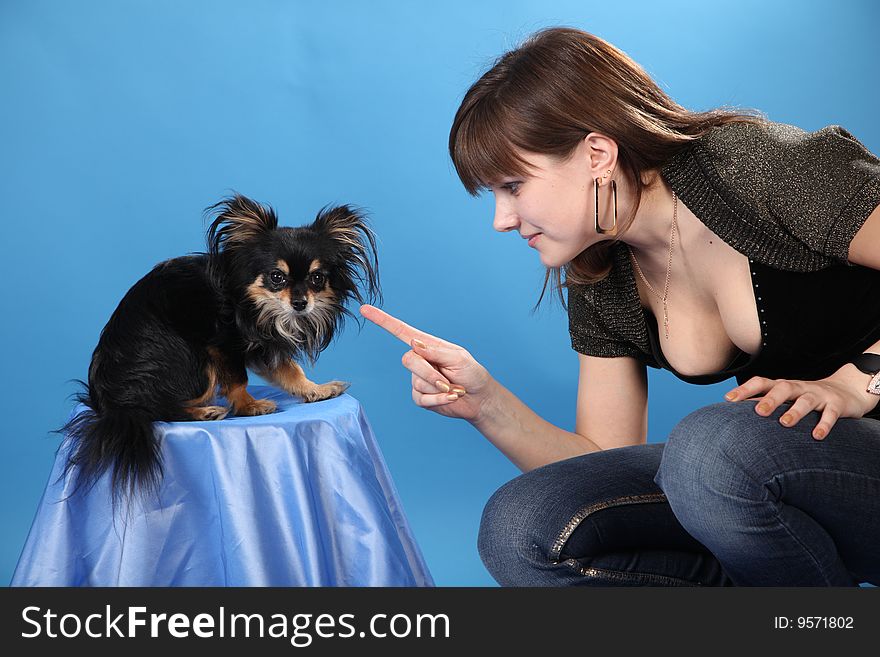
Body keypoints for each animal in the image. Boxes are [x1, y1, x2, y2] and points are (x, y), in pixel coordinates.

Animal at [61, 195, 378, 498]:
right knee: (157, 409)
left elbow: (290, 370)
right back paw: (204, 412)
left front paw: (315, 389)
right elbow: (239, 380)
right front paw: (249, 406)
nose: (300, 303)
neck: (256, 304)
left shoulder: (263, 345)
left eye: (317, 278)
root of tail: (111, 404)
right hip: (193, 359)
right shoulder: (224, 346)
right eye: (277, 277)